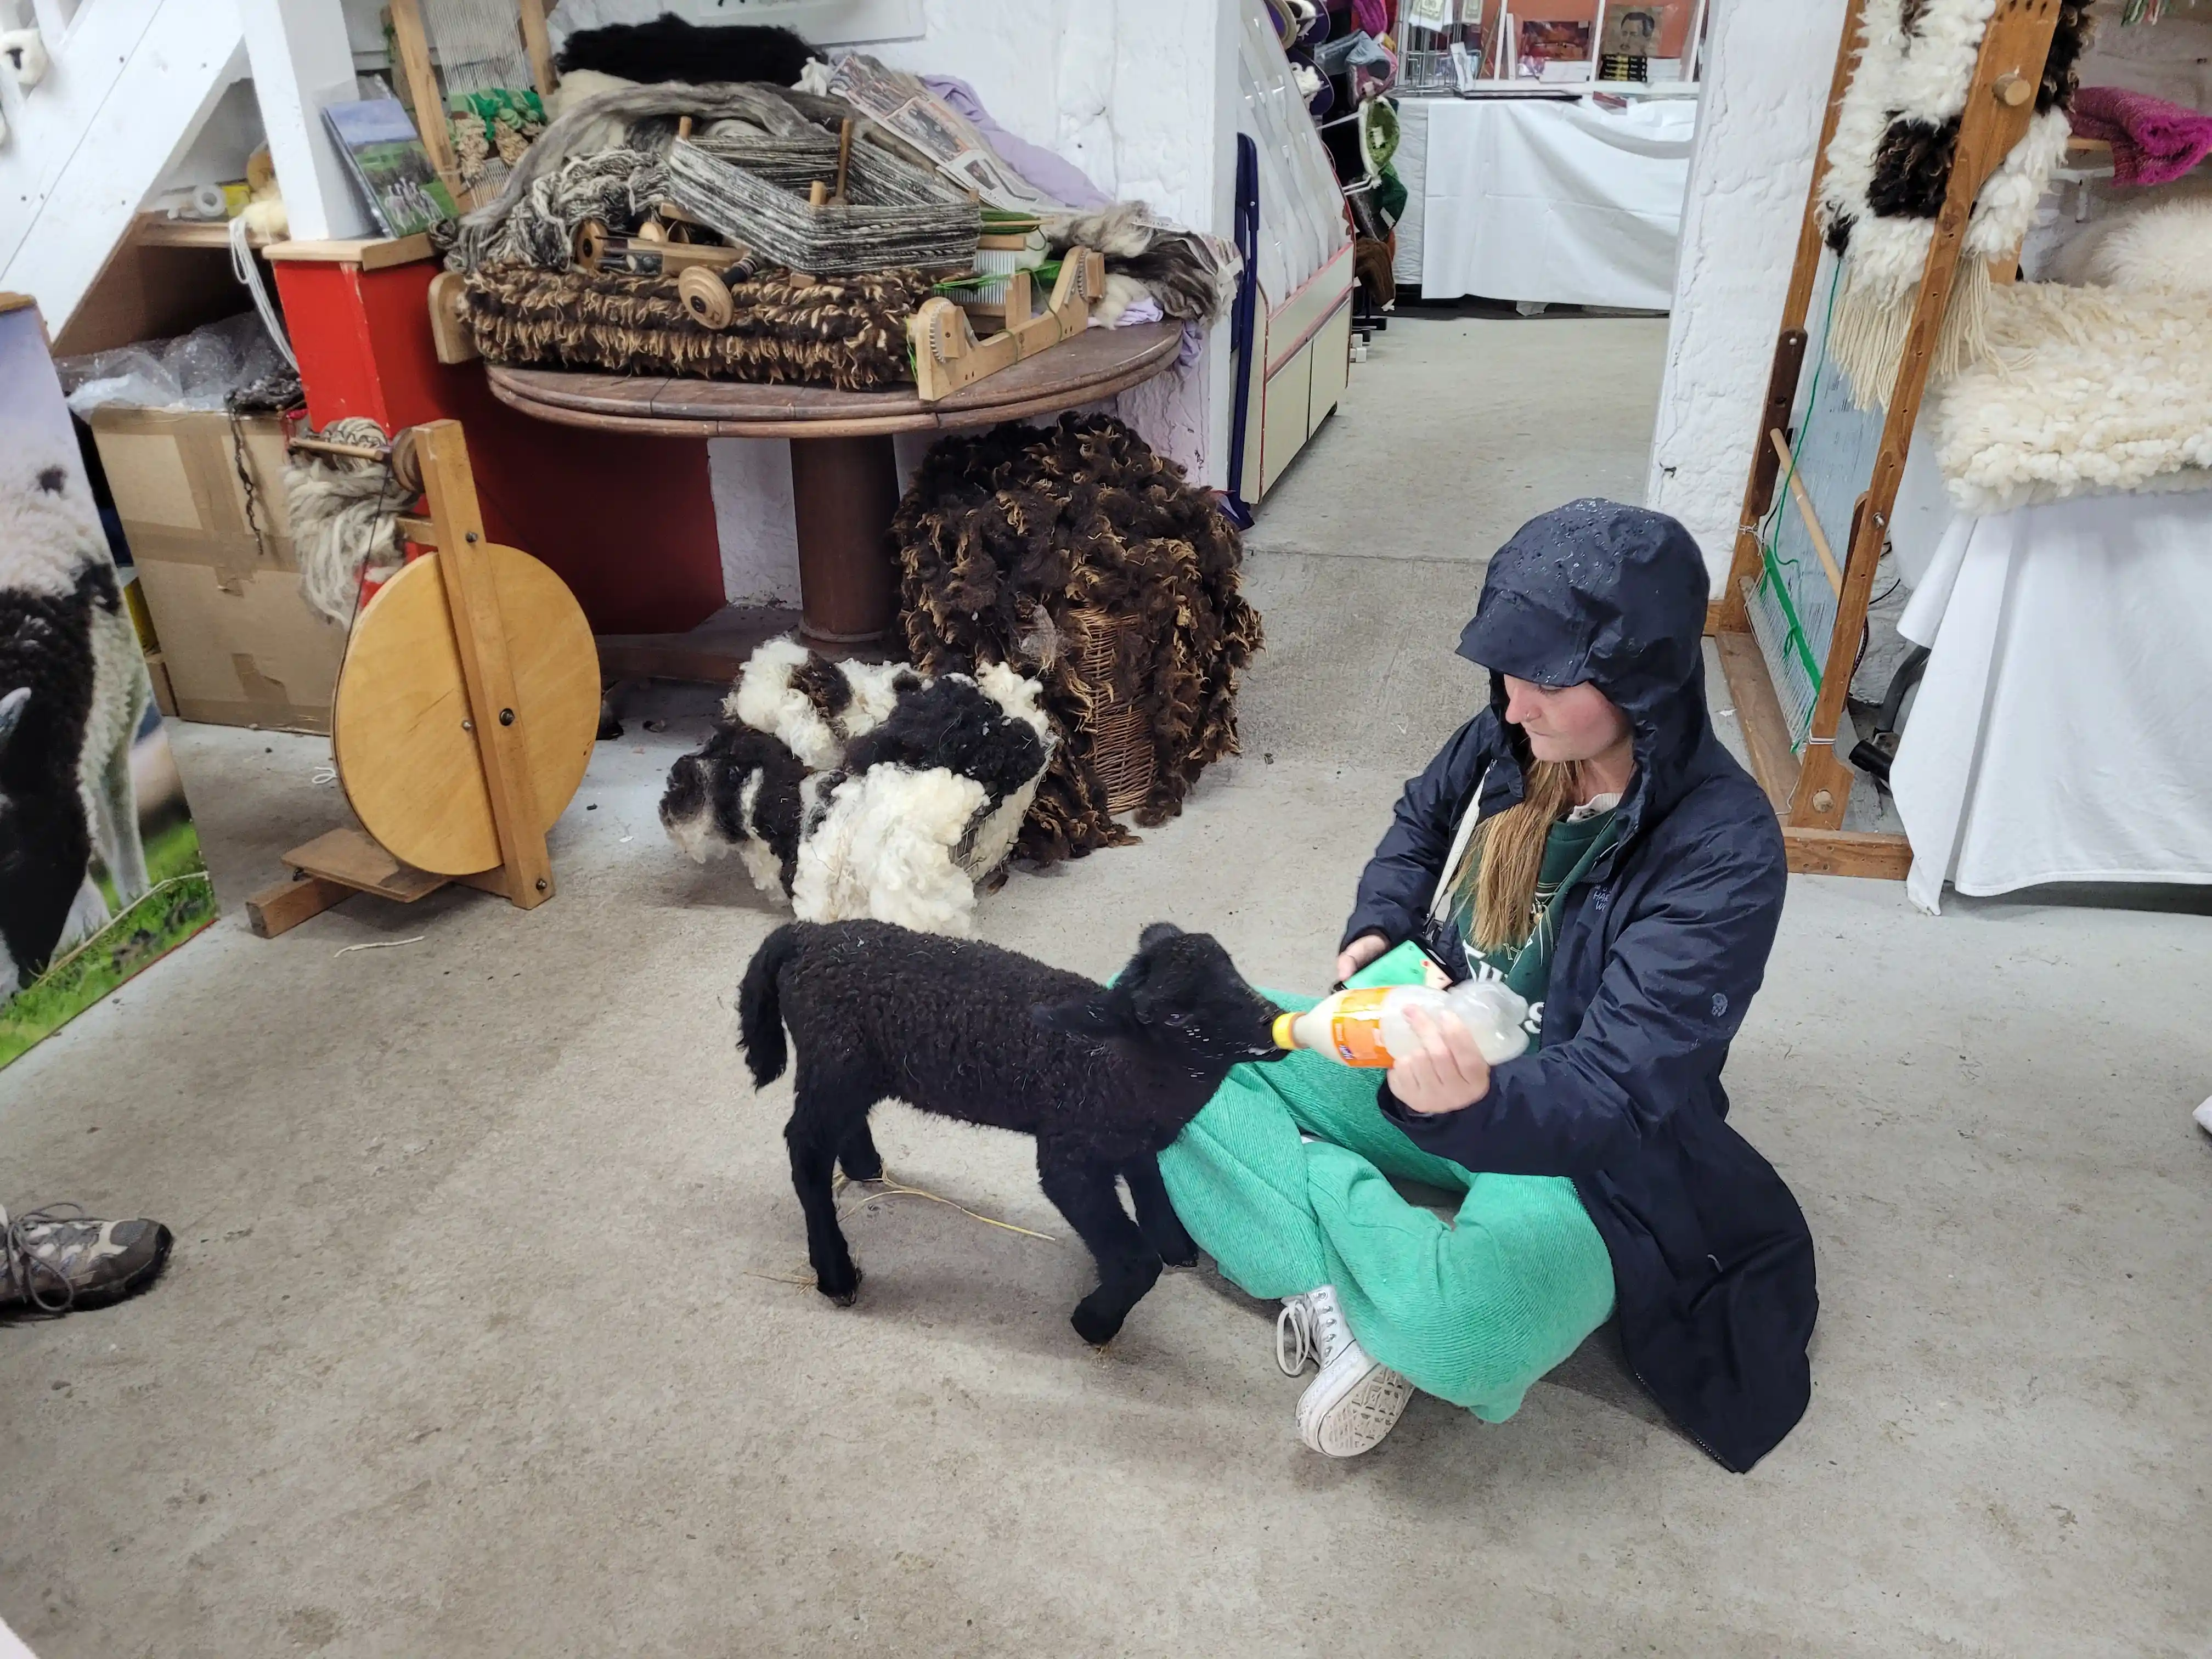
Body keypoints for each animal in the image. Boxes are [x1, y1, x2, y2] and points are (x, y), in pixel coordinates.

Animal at [743, 924, 1283, 1353]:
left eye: (1232, 969)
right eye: (1172, 1016)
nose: (1271, 1024)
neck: (1119, 1061)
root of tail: (805, 935)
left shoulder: (1126, 1133)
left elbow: (1150, 1180)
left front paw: (1174, 1241)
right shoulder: (1070, 1156)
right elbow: (1134, 1257)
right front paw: (1094, 1322)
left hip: (851, 1069)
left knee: (835, 1129)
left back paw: (864, 1167)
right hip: (834, 1058)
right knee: (806, 1150)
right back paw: (835, 1273)